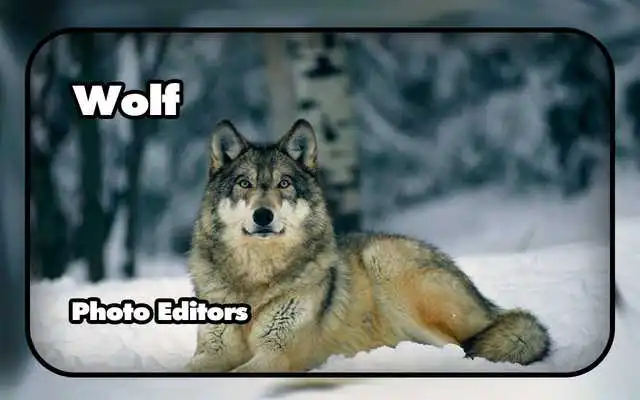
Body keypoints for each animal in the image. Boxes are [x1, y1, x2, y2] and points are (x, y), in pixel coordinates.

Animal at [184, 119, 551, 373]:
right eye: (244, 183)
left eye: (284, 183)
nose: (263, 215)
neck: (255, 281)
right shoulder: (213, 352)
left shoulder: (276, 354)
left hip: (387, 265)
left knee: (460, 349)